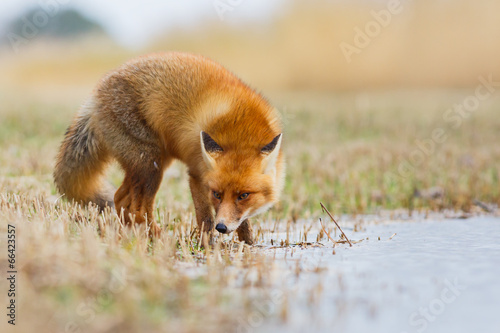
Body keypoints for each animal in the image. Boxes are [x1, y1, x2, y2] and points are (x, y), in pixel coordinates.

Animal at [54, 52, 286, 244]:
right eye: (216, 194)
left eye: (244, 195)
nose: (222, 228)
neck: (241, 135)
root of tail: (93, 97)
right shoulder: (196, 175)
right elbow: (205, 218)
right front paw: (208, 246)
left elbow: (243, 222)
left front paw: (250, 244)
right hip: (150, 165)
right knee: (137, 208)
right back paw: (157, 238)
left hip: (153, 163)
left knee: (120, 199)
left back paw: (127, 234)